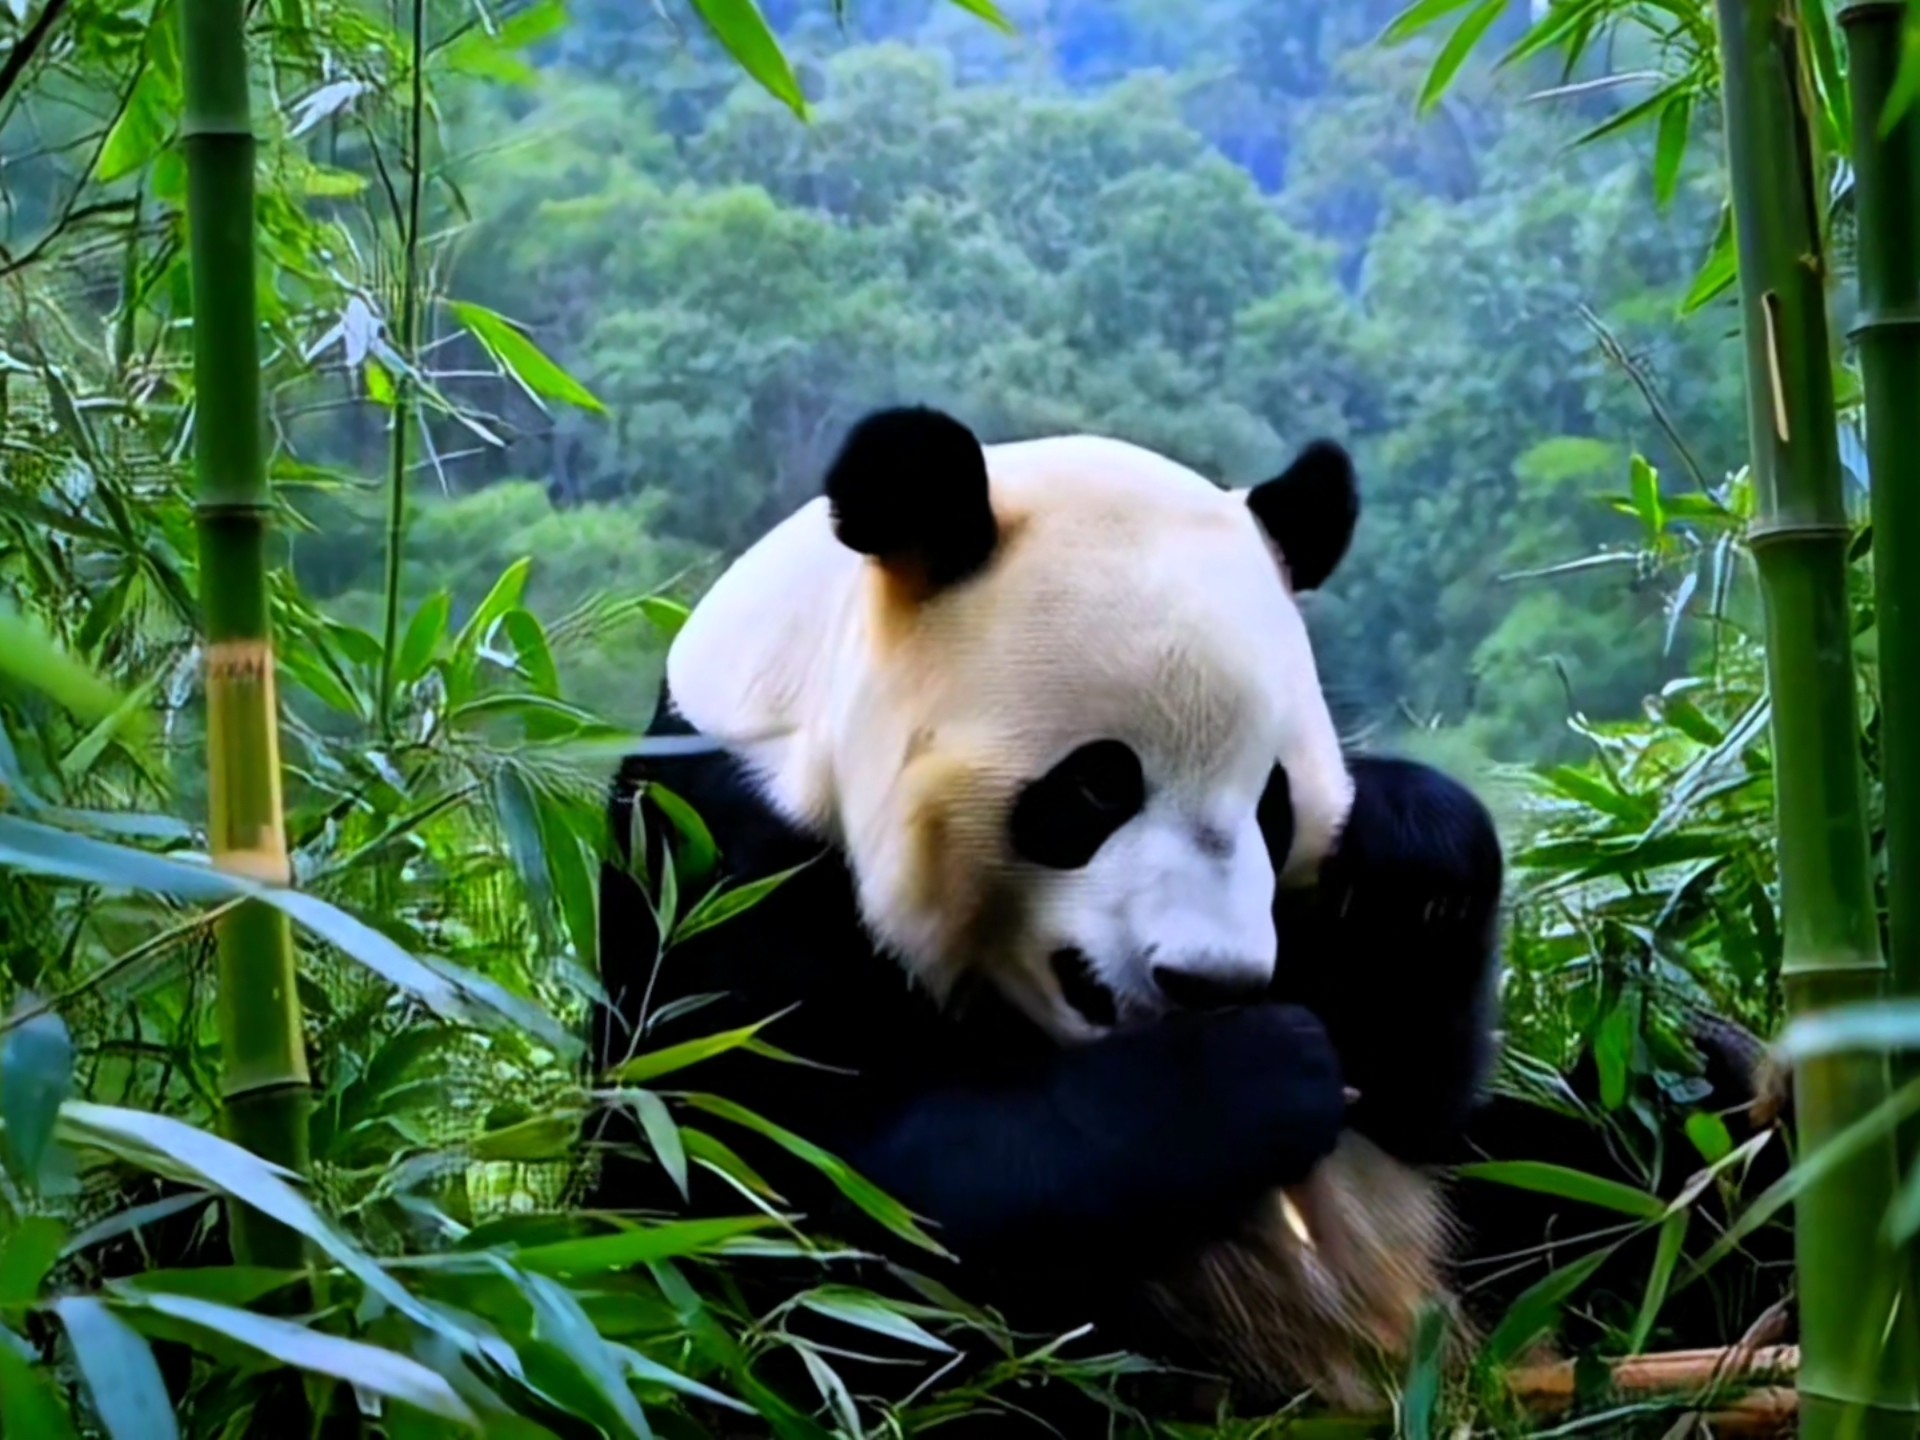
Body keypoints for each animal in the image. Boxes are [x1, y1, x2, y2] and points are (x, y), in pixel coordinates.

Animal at [591, 405, 1507, 1417]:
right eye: (1099, 786)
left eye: (1273, 802)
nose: (1209, 980)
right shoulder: (729, 869)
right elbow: (802, 1207)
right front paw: (1257, 1069)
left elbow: (1417, 1102)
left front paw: (1412, 847)